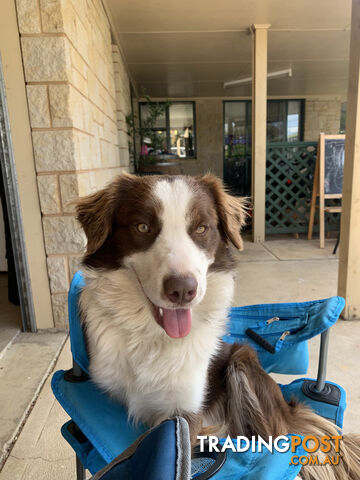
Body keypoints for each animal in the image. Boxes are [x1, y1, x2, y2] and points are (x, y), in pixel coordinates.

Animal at [77, 173, 358, 480]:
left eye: (201, 228)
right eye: (142, 227)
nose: (183, 290)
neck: (151, 336)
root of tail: (289, 410)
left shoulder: (186, 414)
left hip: (243, 360)